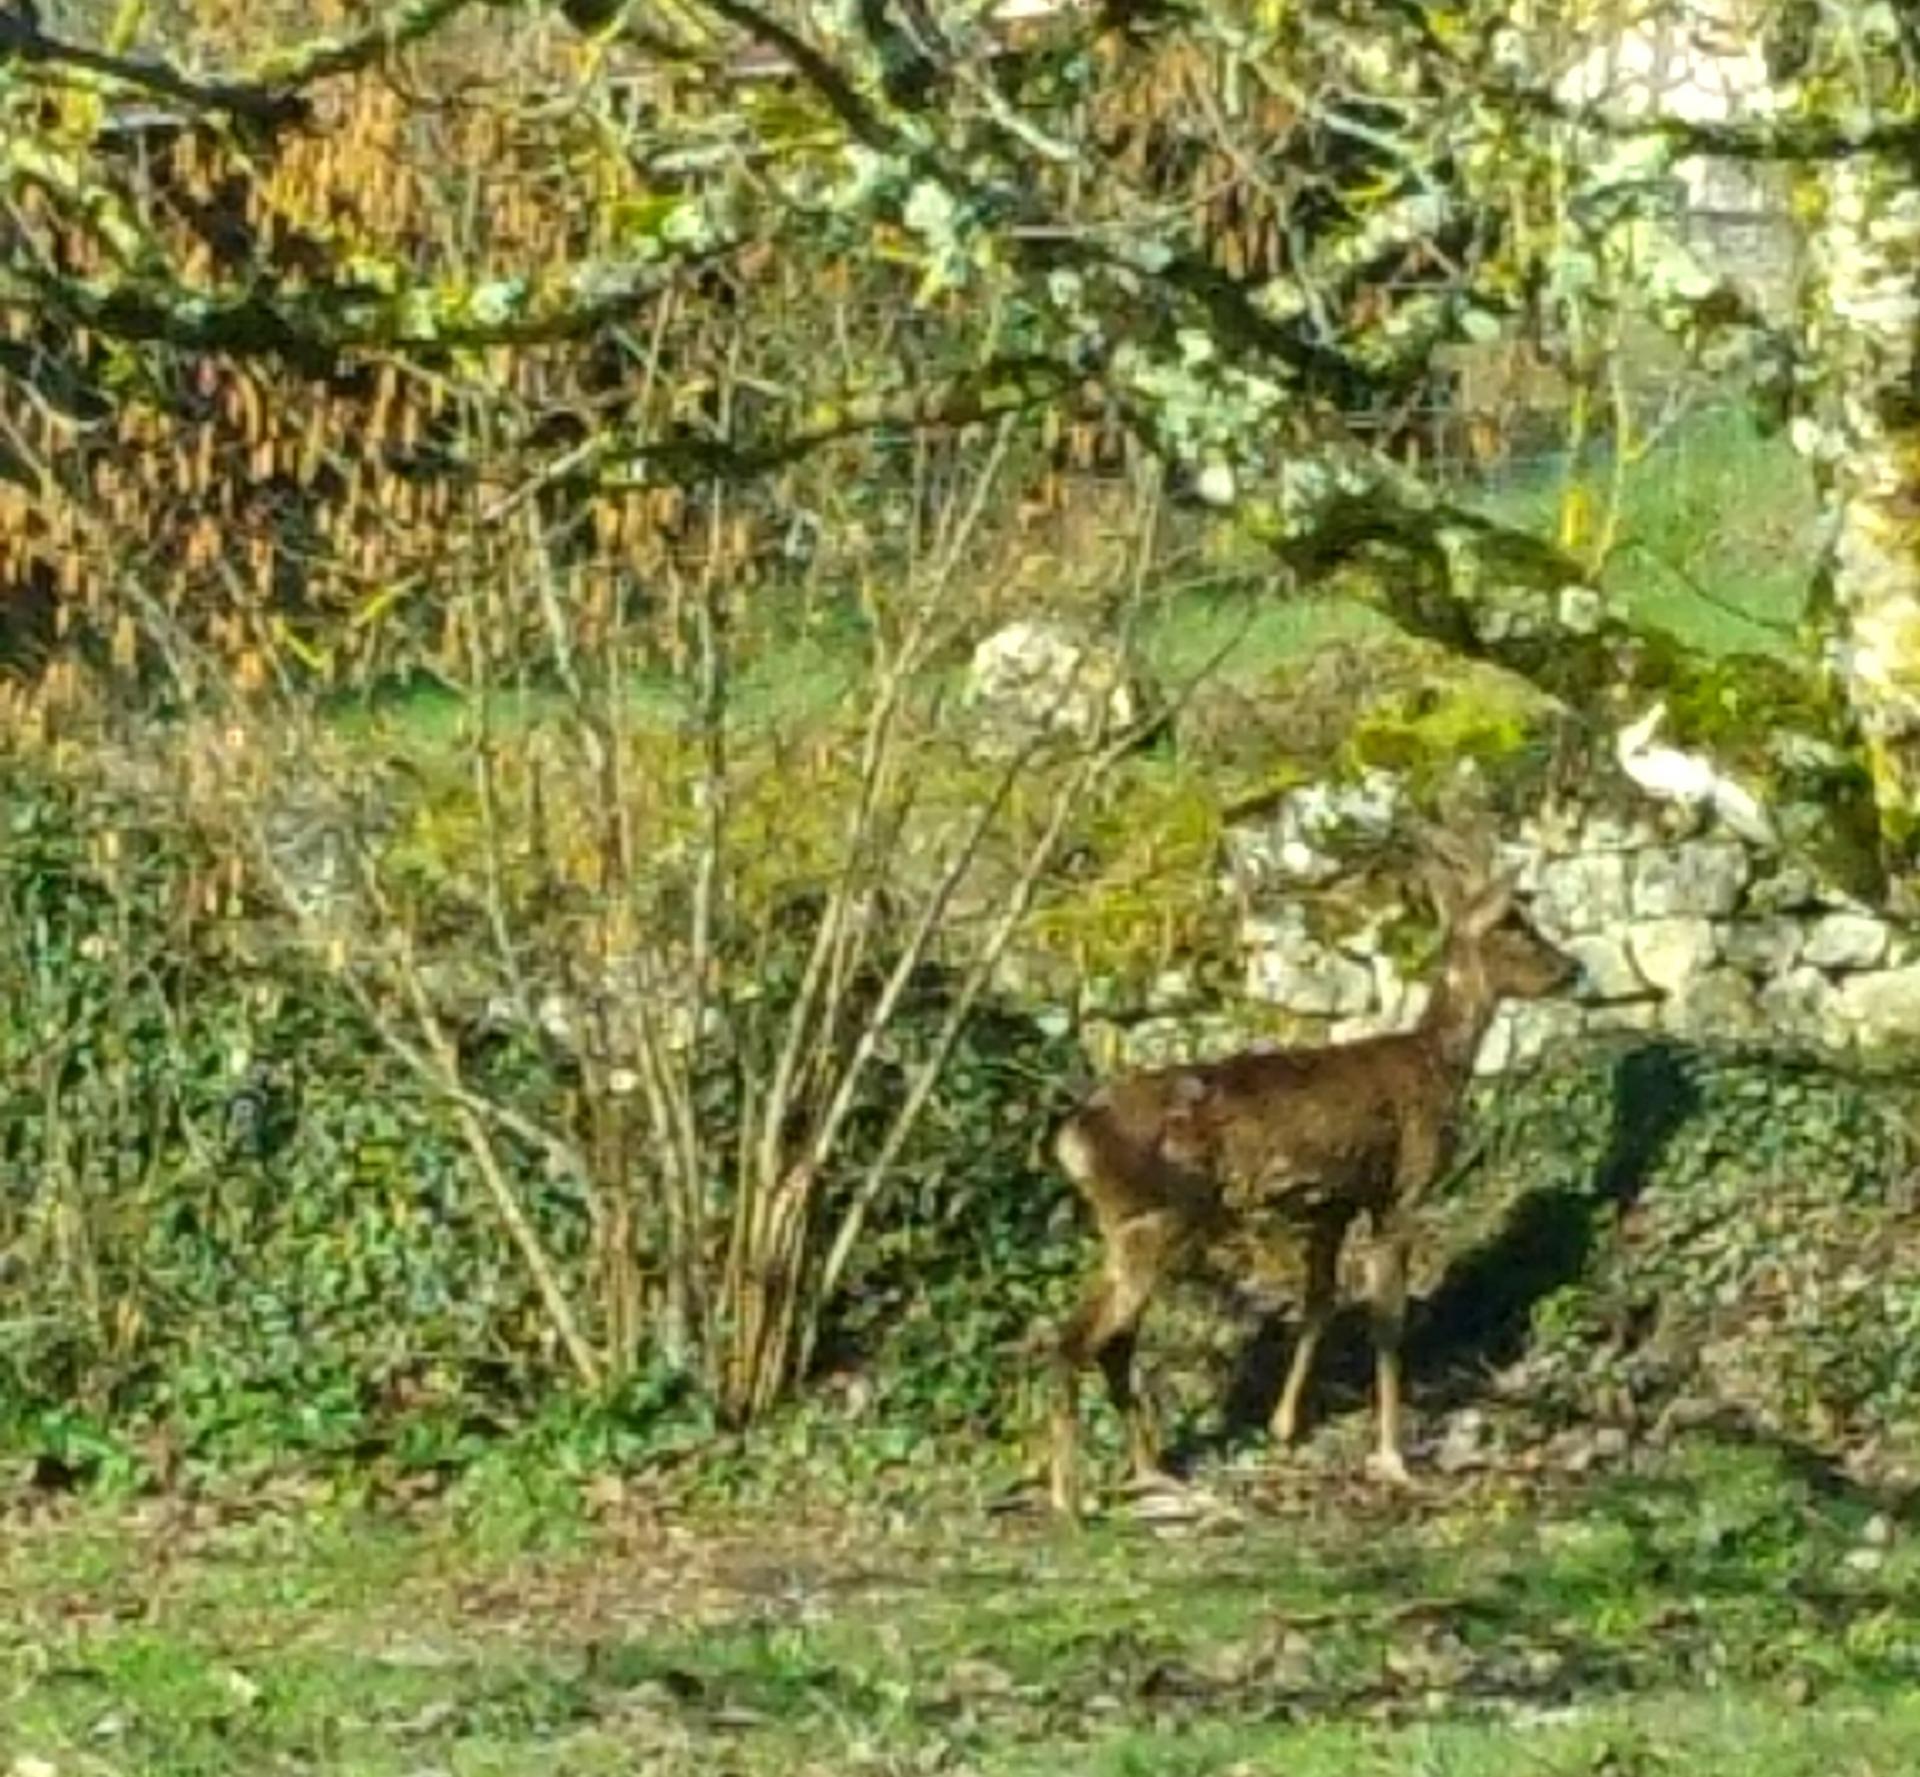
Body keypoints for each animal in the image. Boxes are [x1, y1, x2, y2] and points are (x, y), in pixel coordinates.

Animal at [1052, 832, 1574, 1519]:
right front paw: (1394, 1458)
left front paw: (1282, 1426)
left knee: (1112, 1339)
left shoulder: (1333, 1201)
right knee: (1077, 1340)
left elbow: (1319, 1303)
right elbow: (1387, 1321)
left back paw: (1152, 1474)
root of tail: (1072, 1139)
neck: (1436, 1065)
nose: (1572, 968)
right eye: (1515, 923)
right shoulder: (1400, 1189)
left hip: (1128, 1228)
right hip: (1157, 1218)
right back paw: (1070, 1498)